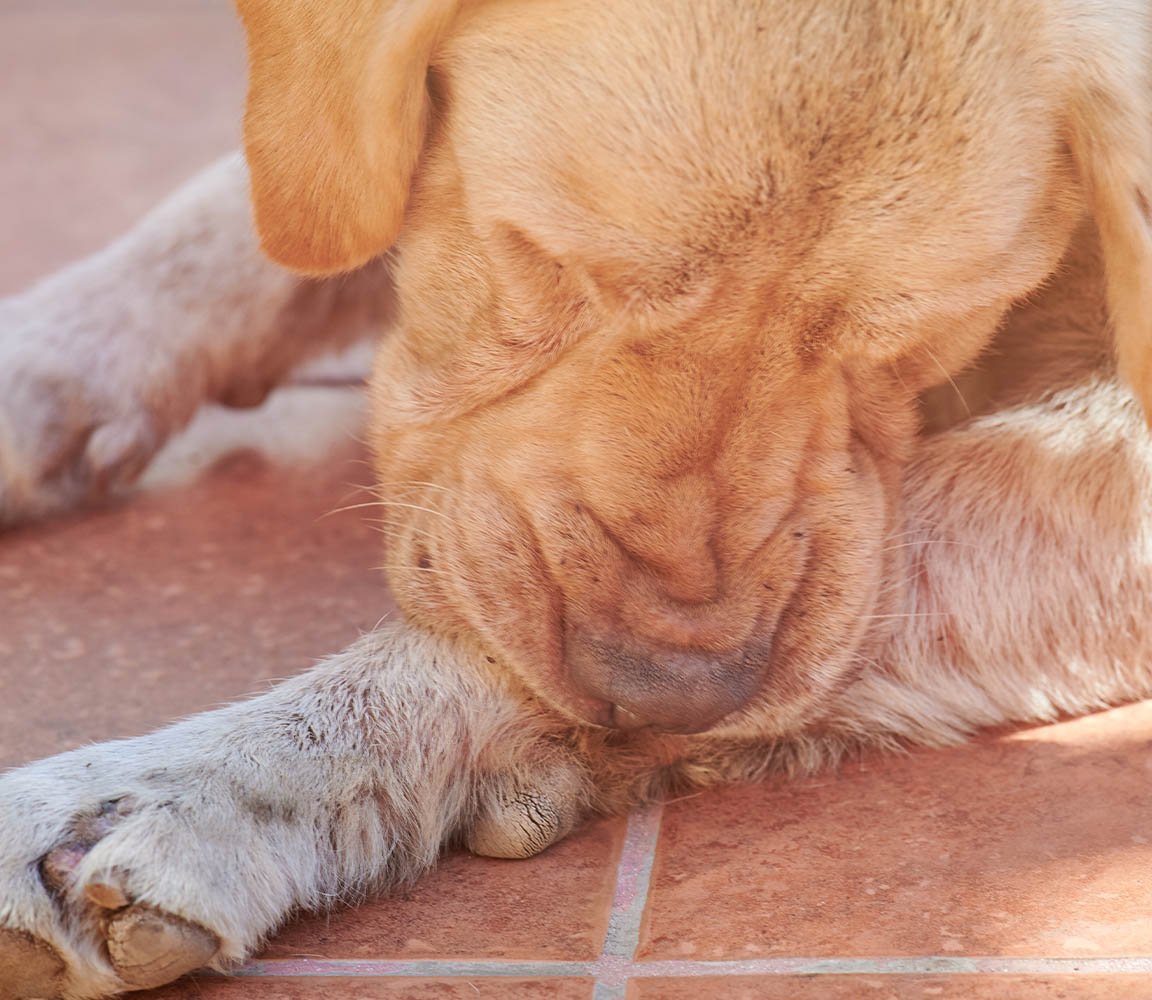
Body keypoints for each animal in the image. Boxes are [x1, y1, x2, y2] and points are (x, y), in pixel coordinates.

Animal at [2, 0, 1152, 995]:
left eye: (912, 343)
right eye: (546, 261)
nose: (668, 694)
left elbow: (464, 653)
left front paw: (200, 783)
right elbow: (282, 201)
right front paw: (50, 355)